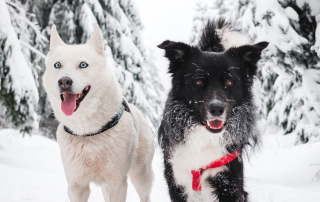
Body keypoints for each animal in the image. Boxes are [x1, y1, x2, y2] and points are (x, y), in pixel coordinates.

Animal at [42, 22, 155, 202]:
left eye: (83, 65)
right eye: (57, 65)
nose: (64, 81)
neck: (88, 131)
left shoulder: (117, 183)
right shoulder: (76, 186)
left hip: (140, 176)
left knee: (145, 195)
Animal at [158, 18, 268, 201]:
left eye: (229, 82)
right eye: (198, 81)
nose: (217, 109)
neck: (205, 139)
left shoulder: (230, 185)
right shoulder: (177, 182)